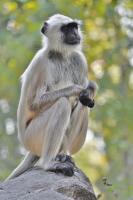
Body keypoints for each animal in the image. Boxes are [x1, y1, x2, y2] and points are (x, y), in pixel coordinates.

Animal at [6, 14, 97, 180]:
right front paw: (76, 89)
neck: (61, 55)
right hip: (32, 137)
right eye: (66, 29)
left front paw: (88, 90)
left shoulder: (79, 59)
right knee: (62, 104)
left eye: (74, 27)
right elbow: (33, 103)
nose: (75, 34)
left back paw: (62, 154)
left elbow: (85, 95)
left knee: (82, 104)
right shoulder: (40, 62)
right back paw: (48, 164)